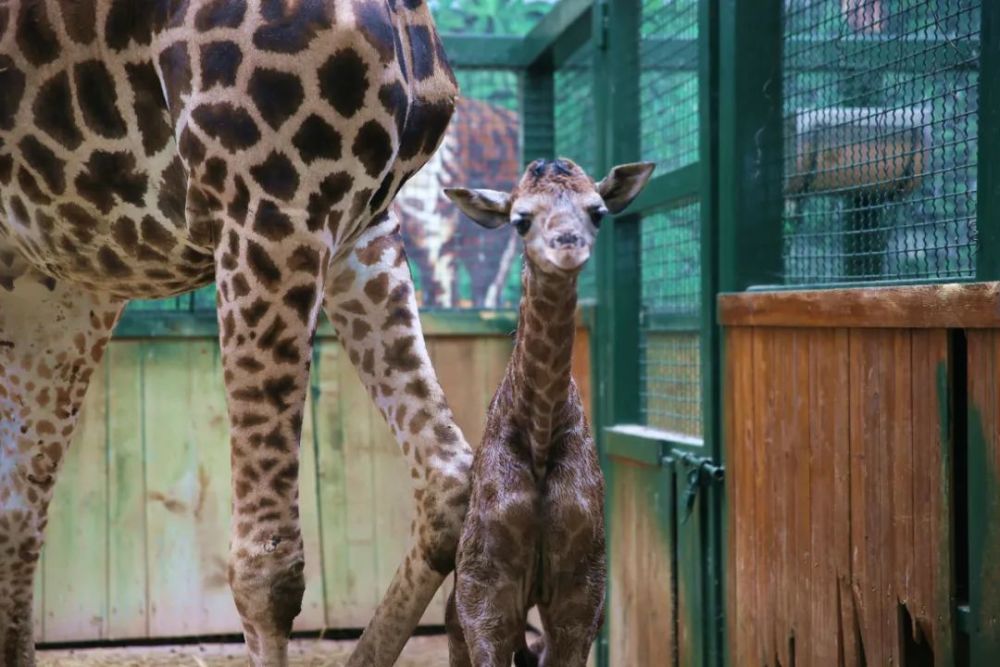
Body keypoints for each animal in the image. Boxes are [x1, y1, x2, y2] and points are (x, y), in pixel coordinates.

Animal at [0, 1, 474, 667]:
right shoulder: (52, 286)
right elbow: (16, 509)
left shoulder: (274, 205)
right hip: (349, 232)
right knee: (448, 476)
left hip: (269, 214)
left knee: (270, 557)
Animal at [442, 159, 652, 664]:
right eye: (520, 219)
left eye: (597, 212)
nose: (568, 247)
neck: (538, 440)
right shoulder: (484, 592)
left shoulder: (582, 594)